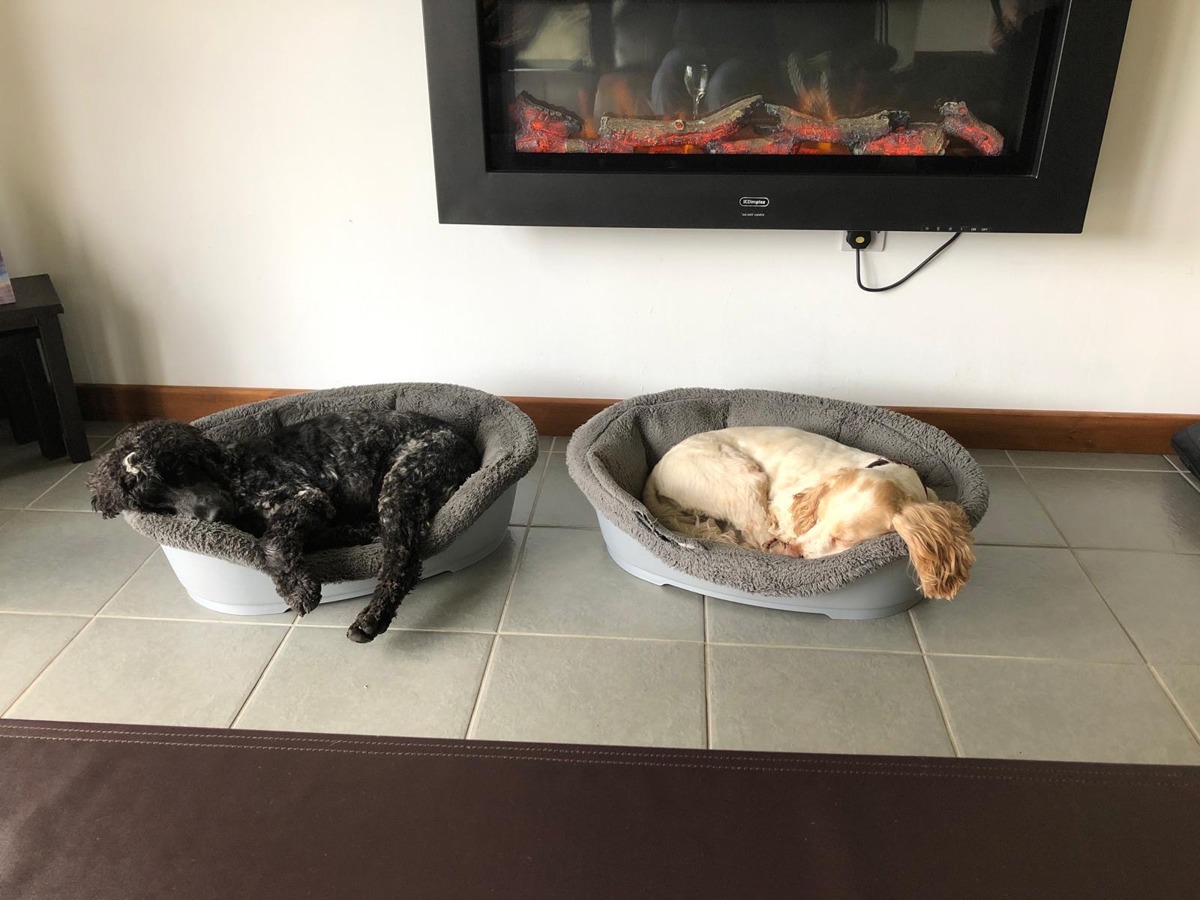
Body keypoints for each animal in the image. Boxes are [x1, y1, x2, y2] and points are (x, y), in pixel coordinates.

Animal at [88, 410, 480, 642]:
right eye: (156, 502)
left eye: (182, 467)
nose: (213, 517)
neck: (229, 473)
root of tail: (466, 444)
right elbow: (275, 540)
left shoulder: (307, 496)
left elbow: (271, 542)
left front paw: (296, 589)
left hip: (403, 482)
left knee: (401, 559)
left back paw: (372, 617)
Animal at [642, 426, 974, 599]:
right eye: (817, 518)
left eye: (843, 539)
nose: (794, 552)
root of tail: (657, 470)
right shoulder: (781, 507)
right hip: (744, 478)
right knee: (756, 538)